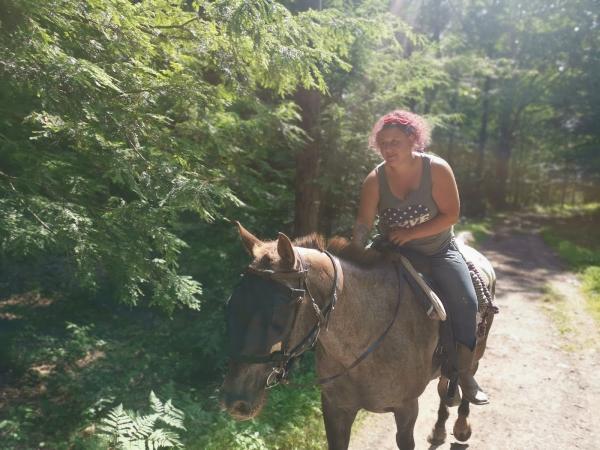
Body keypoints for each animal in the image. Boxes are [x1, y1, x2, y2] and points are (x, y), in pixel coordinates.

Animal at [220, 222, 492, 450]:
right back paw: (438, 430)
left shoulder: (406, 409)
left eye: (277, 314)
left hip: (476, 353)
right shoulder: (335, 409)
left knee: (465, 375)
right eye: (232, 303)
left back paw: (462, 423)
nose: (234, 400)